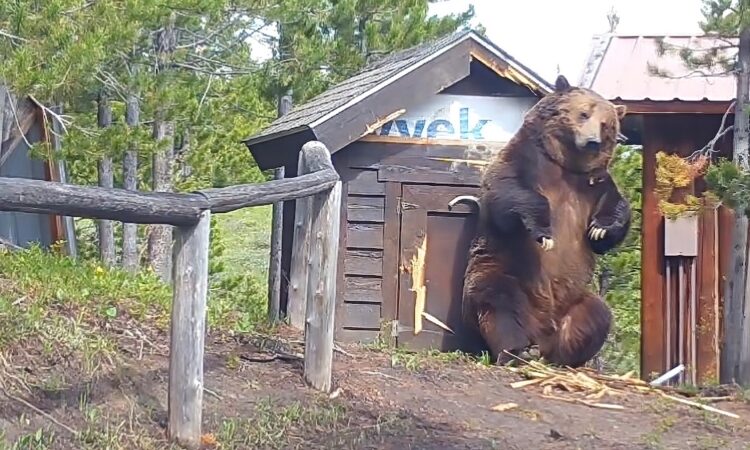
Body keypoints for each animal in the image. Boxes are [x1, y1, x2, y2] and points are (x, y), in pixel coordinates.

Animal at [452, 74, 632, 368]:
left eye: (606, 123)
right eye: (584, 113)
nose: (592, 141)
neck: (566, 165)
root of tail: (544, 334)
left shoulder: (594, 184)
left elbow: (615, 208)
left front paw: (600, 229)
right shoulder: (527, 162)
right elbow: (508, 194)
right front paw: (544, 232)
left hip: (573, 298)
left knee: (596, 315)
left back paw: (565, 358)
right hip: (503, 271)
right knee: (500, 303)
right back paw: (518, 351)